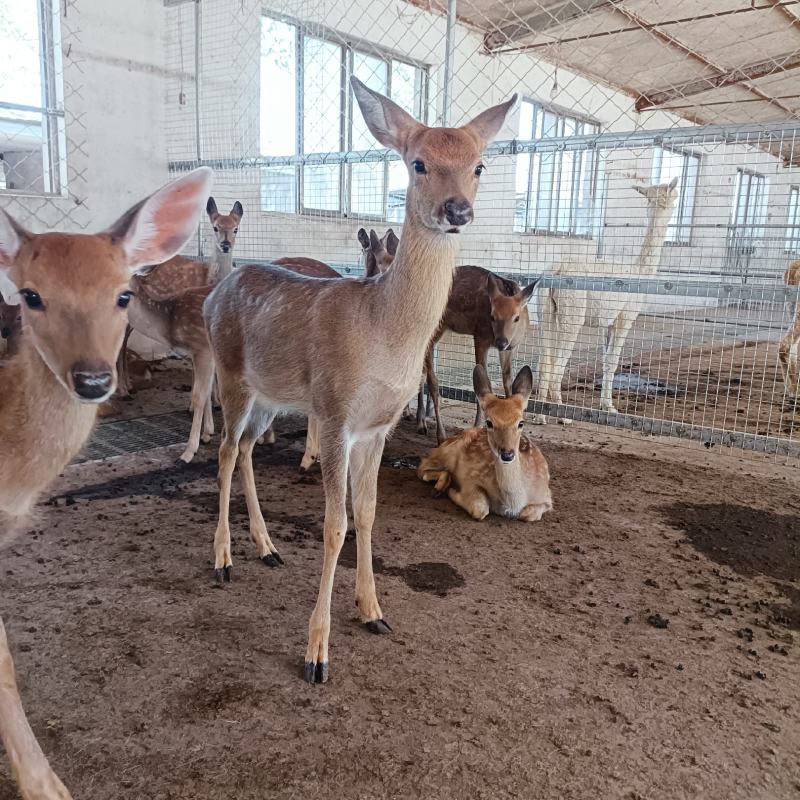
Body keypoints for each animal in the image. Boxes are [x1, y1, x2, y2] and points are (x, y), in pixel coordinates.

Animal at [202, 77, 516, 684]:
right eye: (418, 162)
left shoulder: (376, 427)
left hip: (273, 394)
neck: (382, 335)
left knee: (247, 447)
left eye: (480, 165)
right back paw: (223, 559)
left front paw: (373, 611)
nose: (457, 209)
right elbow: (334, 524)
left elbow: (367, 513)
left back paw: (266, 546)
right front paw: (316, 653)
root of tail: (211, 295)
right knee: (225, 451)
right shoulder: (335, 412)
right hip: (231, 373)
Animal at [418, 365, 552, 521]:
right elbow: (480, 508)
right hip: (446, 452)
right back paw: (439, 488)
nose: (507, 454)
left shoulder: (547, 496)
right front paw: (453, 490)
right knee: (422, 467)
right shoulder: (470, 479)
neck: (512, 504)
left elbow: (528, 514)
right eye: (489, 422)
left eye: (521, 423)